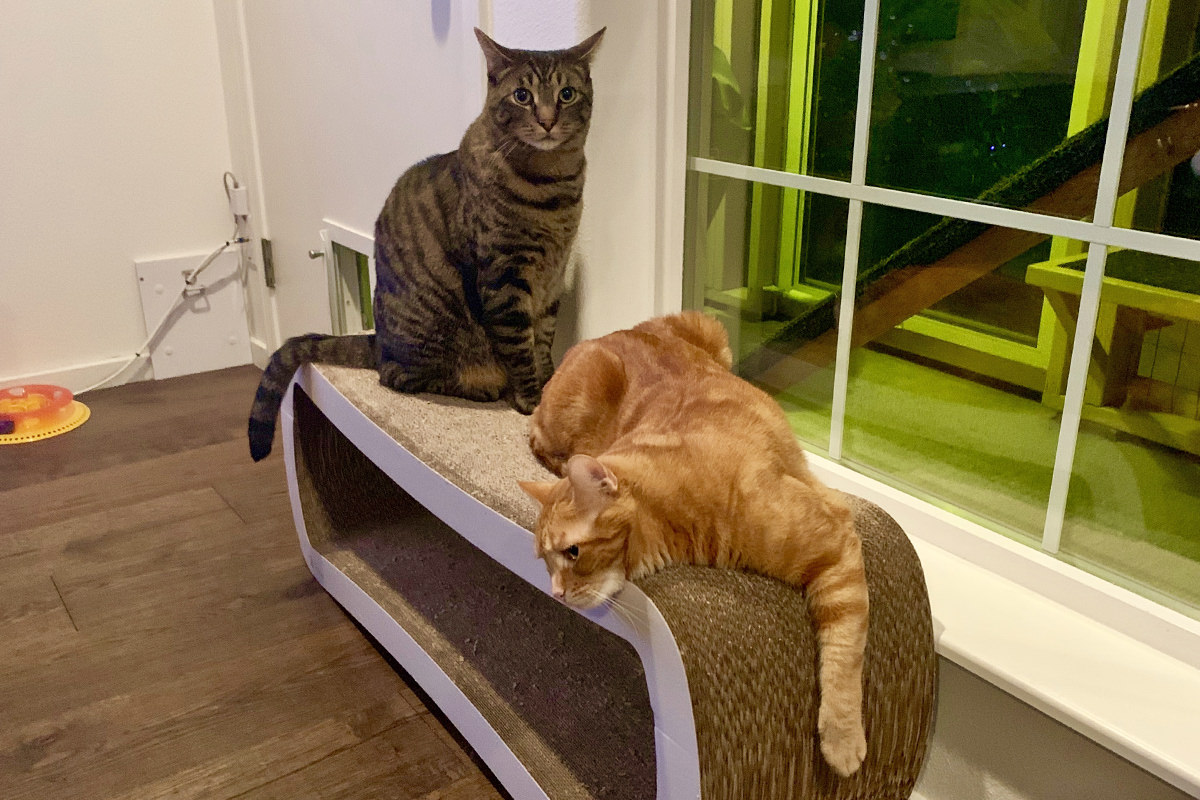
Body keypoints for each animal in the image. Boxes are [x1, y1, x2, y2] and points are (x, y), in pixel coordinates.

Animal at [252, 28, 609, 460]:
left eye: (567, 94)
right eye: (522, 96)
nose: (547, 120)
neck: (553, 186)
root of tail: (378, 342)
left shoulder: (552, 280)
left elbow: (542, 342)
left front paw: (551, 386)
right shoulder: (505, 277)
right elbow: (519, 346)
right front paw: (531, 399)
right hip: (429, 337)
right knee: (399, 376)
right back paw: (478, 385)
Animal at [520, 311, 868, 777]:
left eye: (572, 552)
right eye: (545, 561)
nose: (555, 592)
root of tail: (618, 332)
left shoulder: (834, 540)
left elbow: (844, 652)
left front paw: (842, 738)